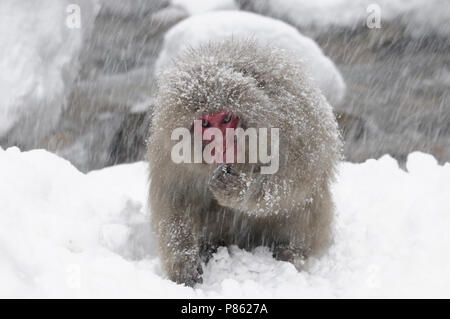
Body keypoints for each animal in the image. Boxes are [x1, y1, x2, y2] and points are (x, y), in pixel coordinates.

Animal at [148, 38, 342, 286]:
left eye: (227, 118)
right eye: (205, 123)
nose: (221, 144)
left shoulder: (292, 121)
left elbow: (299, 178)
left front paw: (238, 189)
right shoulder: (168, 150)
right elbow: (174, 198)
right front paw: (183, 266)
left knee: (303, 203)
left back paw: (291, 252)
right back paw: (211, 247)